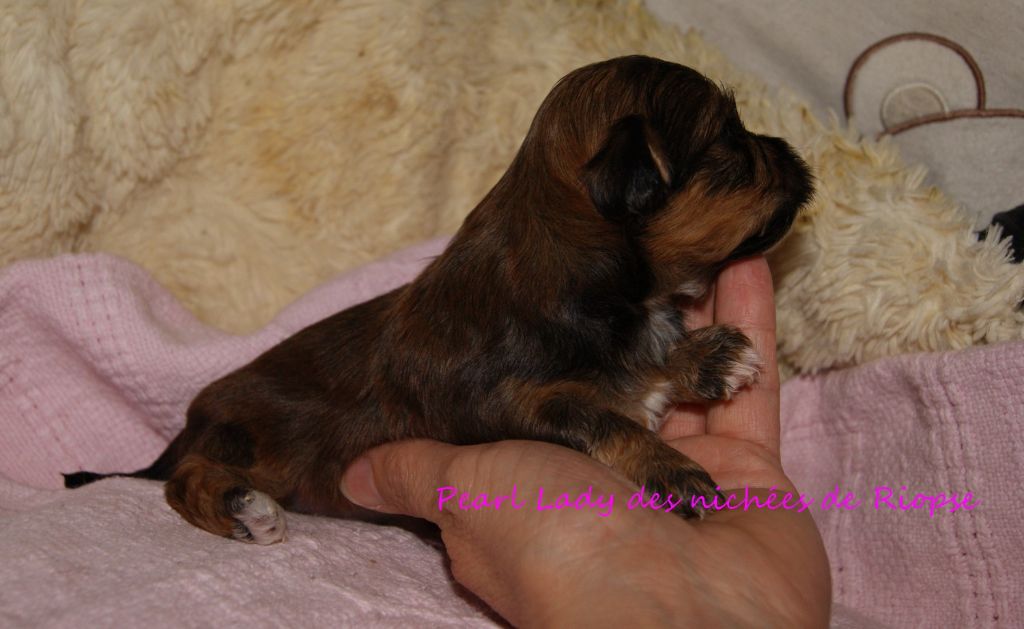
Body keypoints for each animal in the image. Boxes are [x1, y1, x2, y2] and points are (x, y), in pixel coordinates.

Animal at [65, 55, 813, 544]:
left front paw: (706, 358)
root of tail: (193, 418)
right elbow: (600, 415)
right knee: (181, 479)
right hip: (252, 437)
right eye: (733, 143)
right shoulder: (505, 402)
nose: (795, 154)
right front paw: (674, 470)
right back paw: (243, 509)